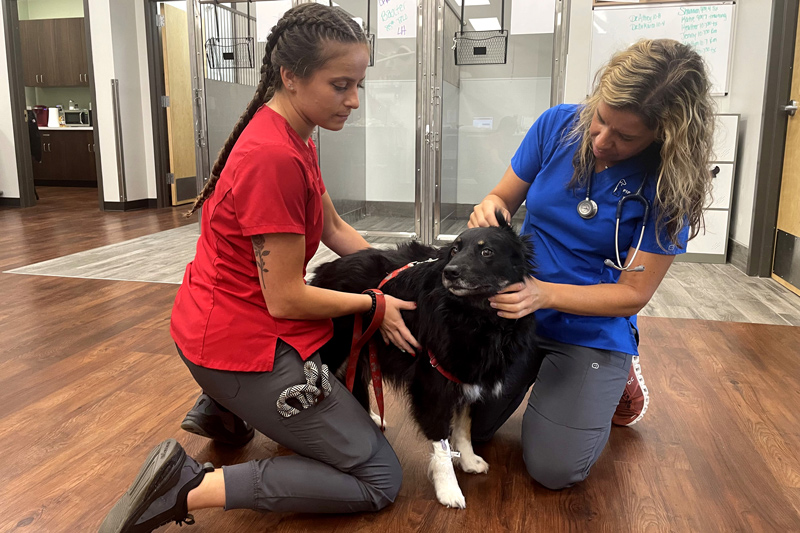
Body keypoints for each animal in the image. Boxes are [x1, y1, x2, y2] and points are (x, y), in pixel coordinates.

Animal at [310, 214, 540, 504]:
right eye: (454, 250)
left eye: (486, 252)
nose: (449, 272)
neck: (477, 317)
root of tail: (321, 271)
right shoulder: (432, 382)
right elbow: (441, 440)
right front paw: (449, 489)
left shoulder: (468, 376)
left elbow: (463, 428)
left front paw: (469, 461)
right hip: (338, 346)